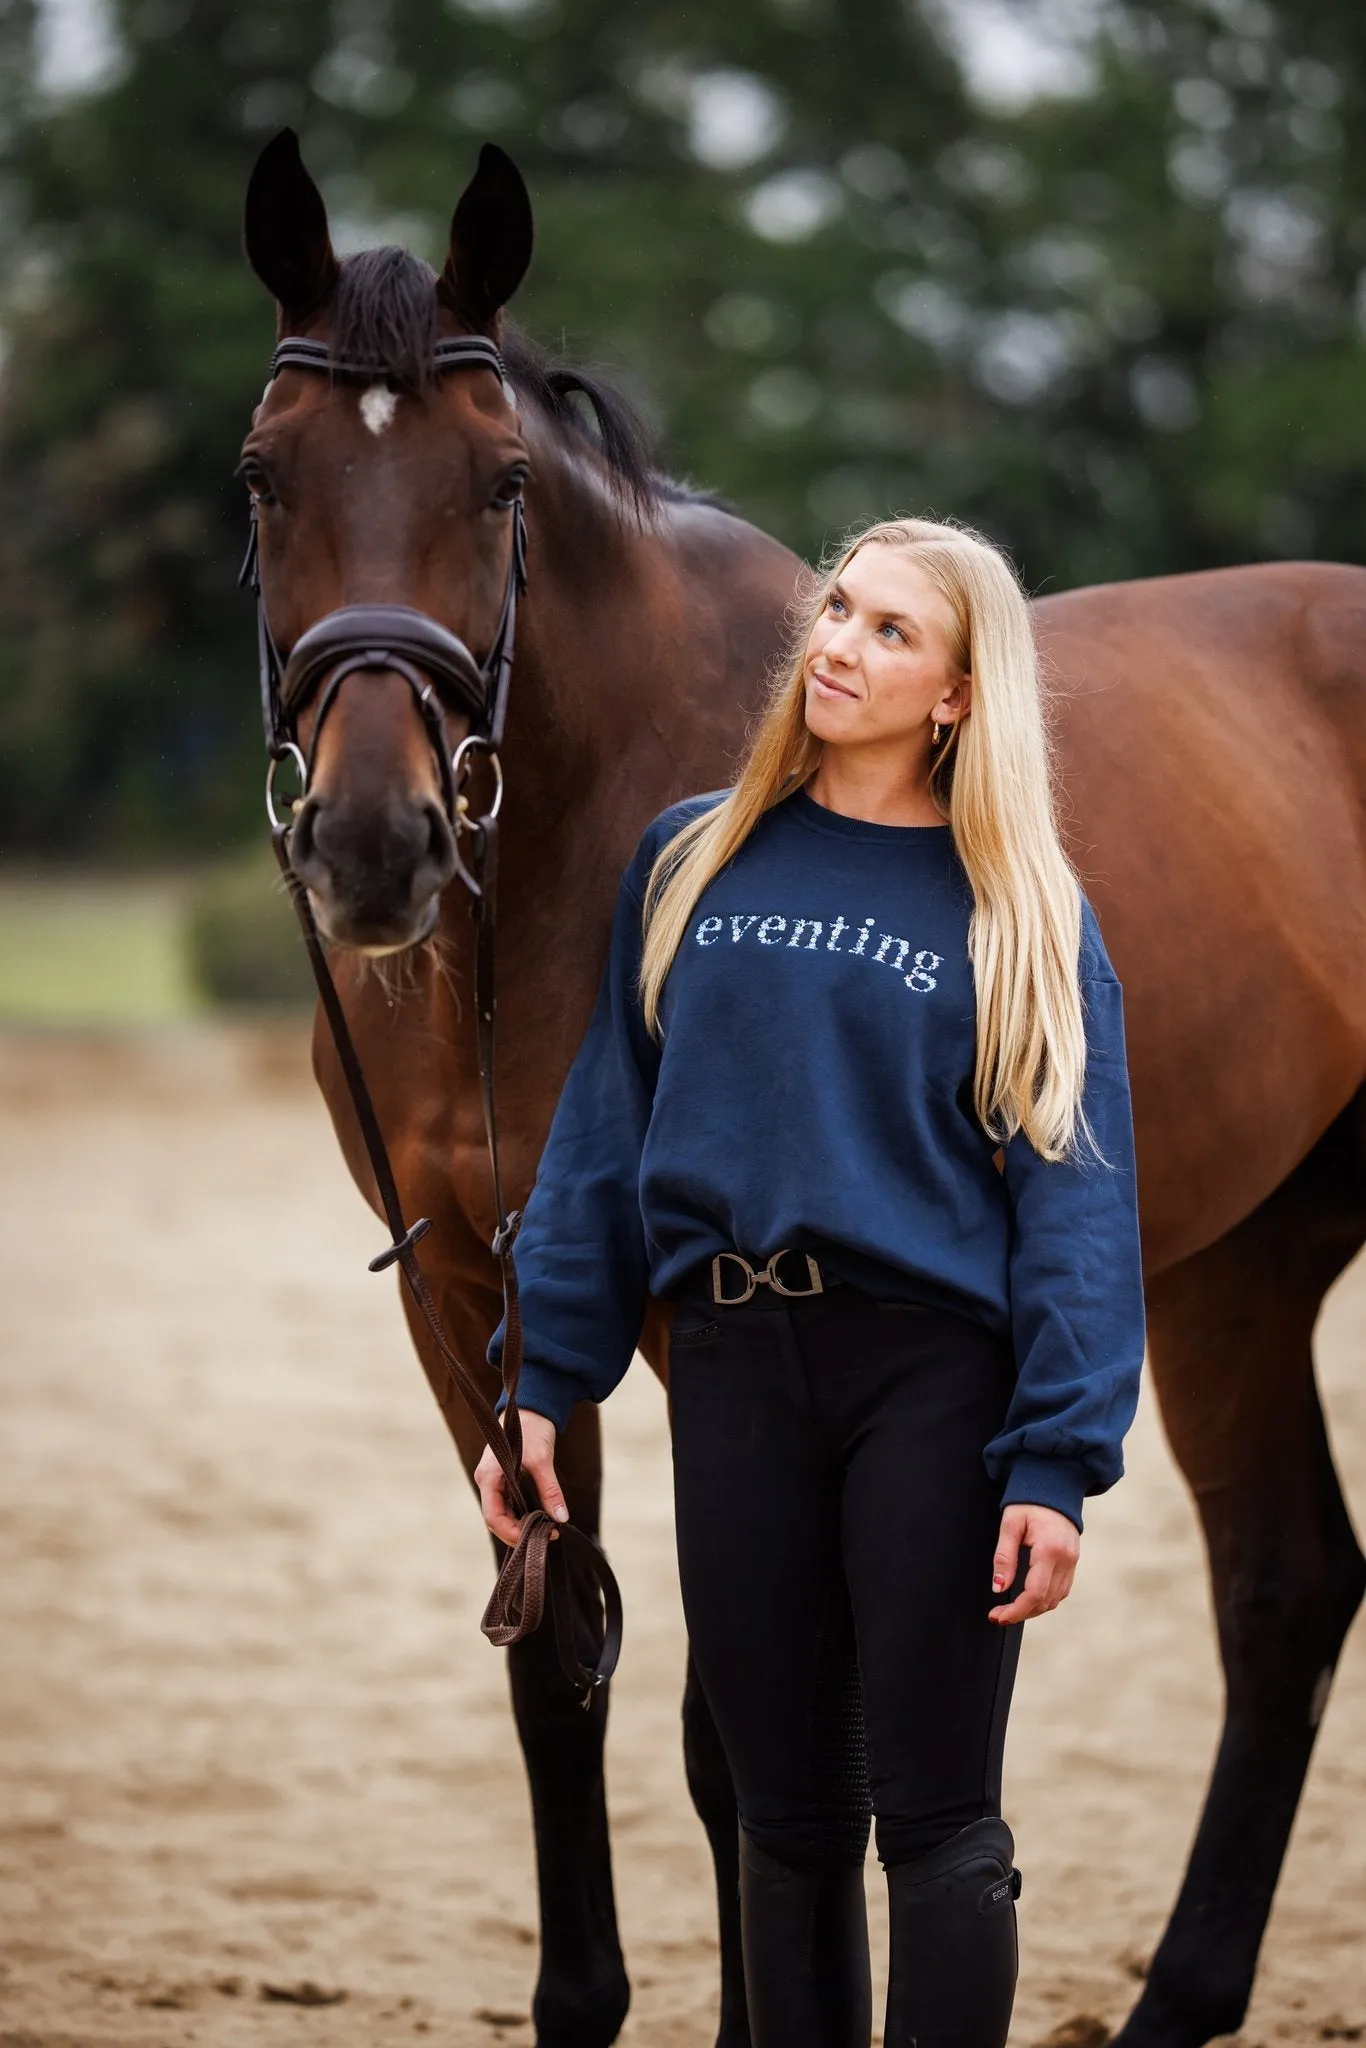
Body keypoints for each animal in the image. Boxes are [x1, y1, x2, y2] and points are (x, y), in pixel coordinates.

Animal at [242, 132, 1366, 2048]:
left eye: (499, 483)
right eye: (262, 477)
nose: (375, 845)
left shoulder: (692, 1312)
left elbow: (735, 1739)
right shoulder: (472, 1298)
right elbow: (556, 1663)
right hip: (1238, 1266)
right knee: (1287, 1583)